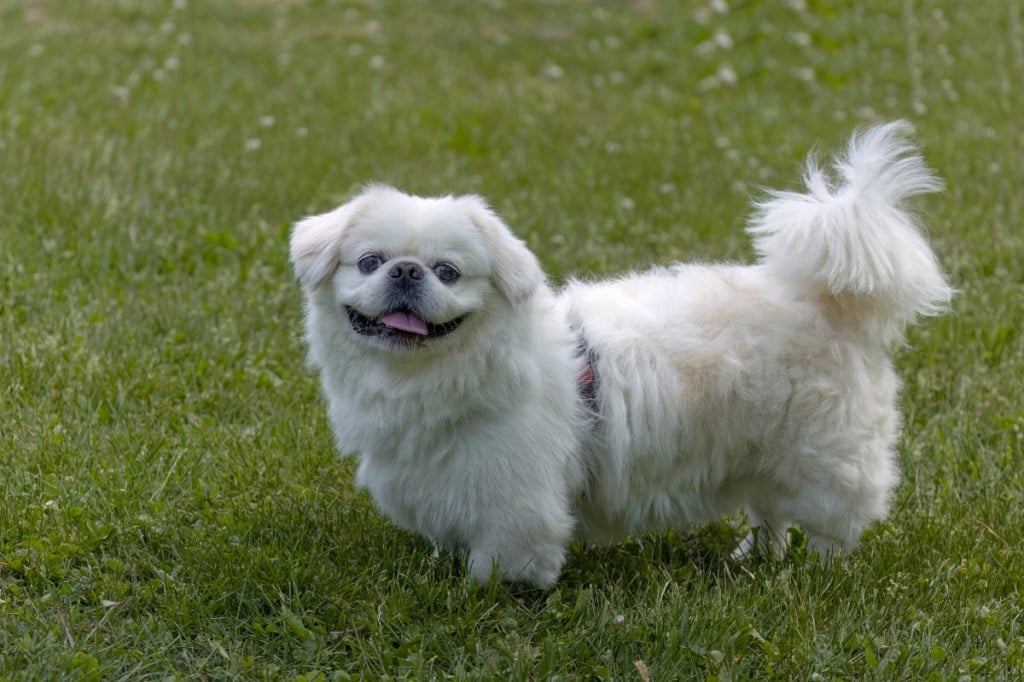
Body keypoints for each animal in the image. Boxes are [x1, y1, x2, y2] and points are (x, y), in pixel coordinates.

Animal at [288, 120, 950, 585]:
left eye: (448, 272)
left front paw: (481, 594)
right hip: (762, 454)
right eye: (369, 262)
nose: (405, 271)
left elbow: (496, 565)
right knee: (770, 518)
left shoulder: (515, 503)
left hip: (819, 461)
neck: (430, 377)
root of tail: (826, 301)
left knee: (829, 526)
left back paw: (818, 572)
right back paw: (750, 560)